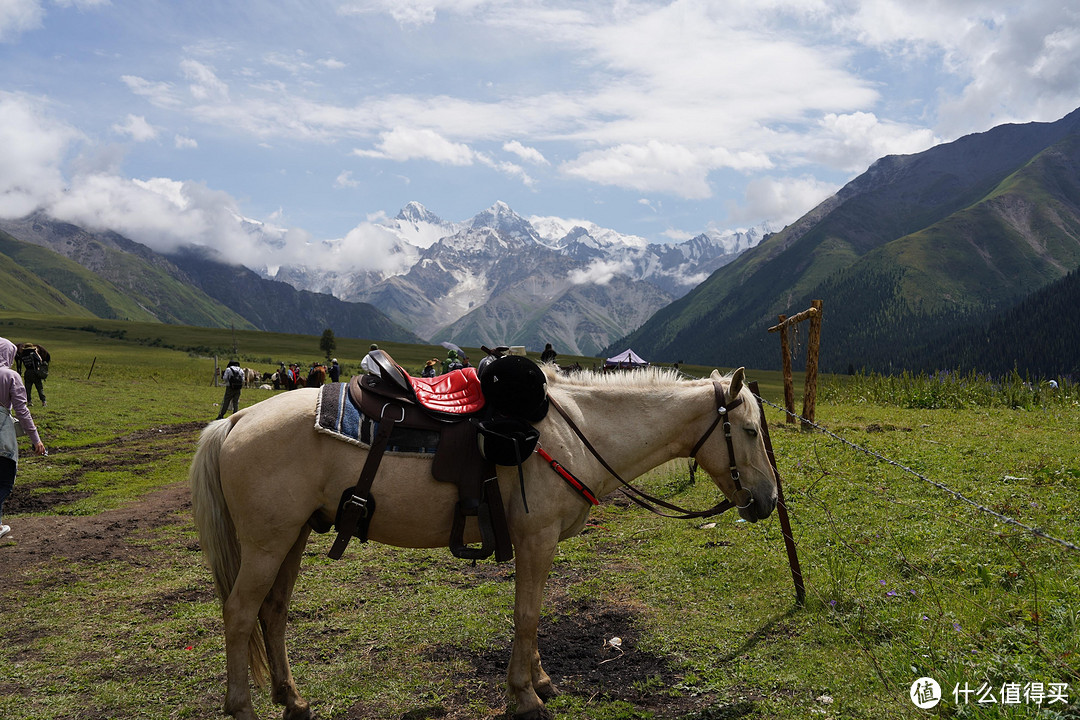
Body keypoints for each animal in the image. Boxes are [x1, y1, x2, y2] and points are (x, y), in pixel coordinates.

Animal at [192, 367, 777, 720]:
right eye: (750, 431)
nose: (768, 500)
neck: (576, 433)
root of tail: (237, 419)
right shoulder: (536, 538)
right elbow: (527, 614)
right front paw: (524, 695)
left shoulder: (540, 543)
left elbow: (534, 613)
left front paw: (540, 681)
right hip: (266, 544)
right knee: (240, 613)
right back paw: (243, 707)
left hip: (290, 539)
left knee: (272, 612)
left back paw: (292, 700)